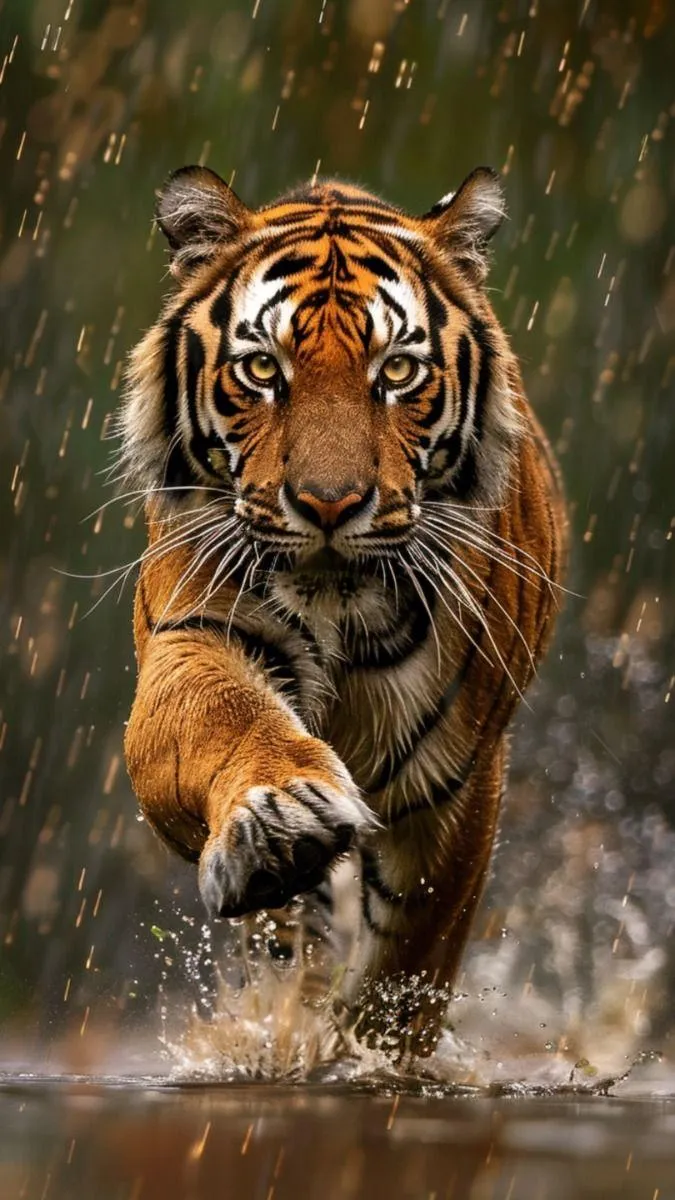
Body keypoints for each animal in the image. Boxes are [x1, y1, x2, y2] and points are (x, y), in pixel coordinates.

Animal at [118, 163, 567, 1057]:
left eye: (396, 373)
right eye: (263, 370)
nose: (329, 504)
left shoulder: (459, 782)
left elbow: (409, 968)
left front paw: (366, 1060)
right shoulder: (192, 640)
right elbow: (227, 720)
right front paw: (280, 824)